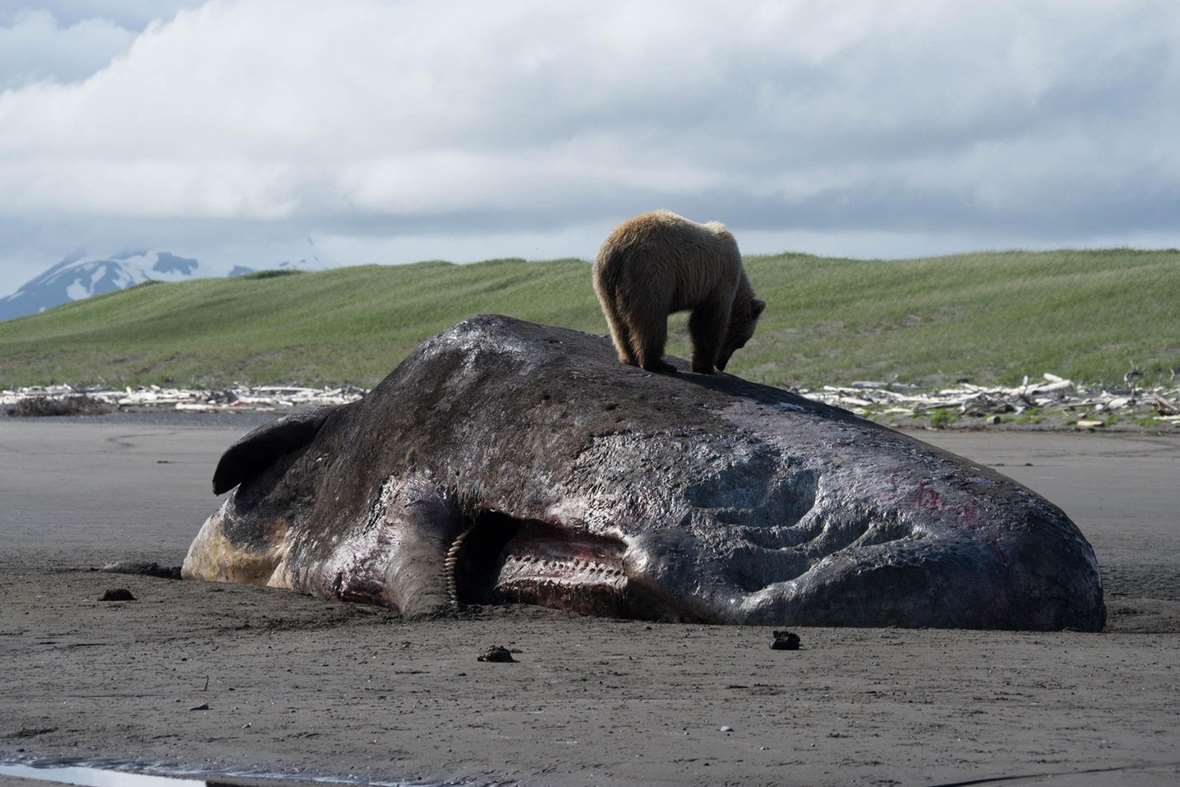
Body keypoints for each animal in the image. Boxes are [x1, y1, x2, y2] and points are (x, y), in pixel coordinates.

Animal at [592, 210, 765, 375]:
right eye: (741, 343)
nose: (721, 365)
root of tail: (618, 247)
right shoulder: (719, 281)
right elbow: (708, 321)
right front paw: (705, 366)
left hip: (605, 282)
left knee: (617, 322)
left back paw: (629, 357)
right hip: (651, 271)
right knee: (650, 319)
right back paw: (658, 363)